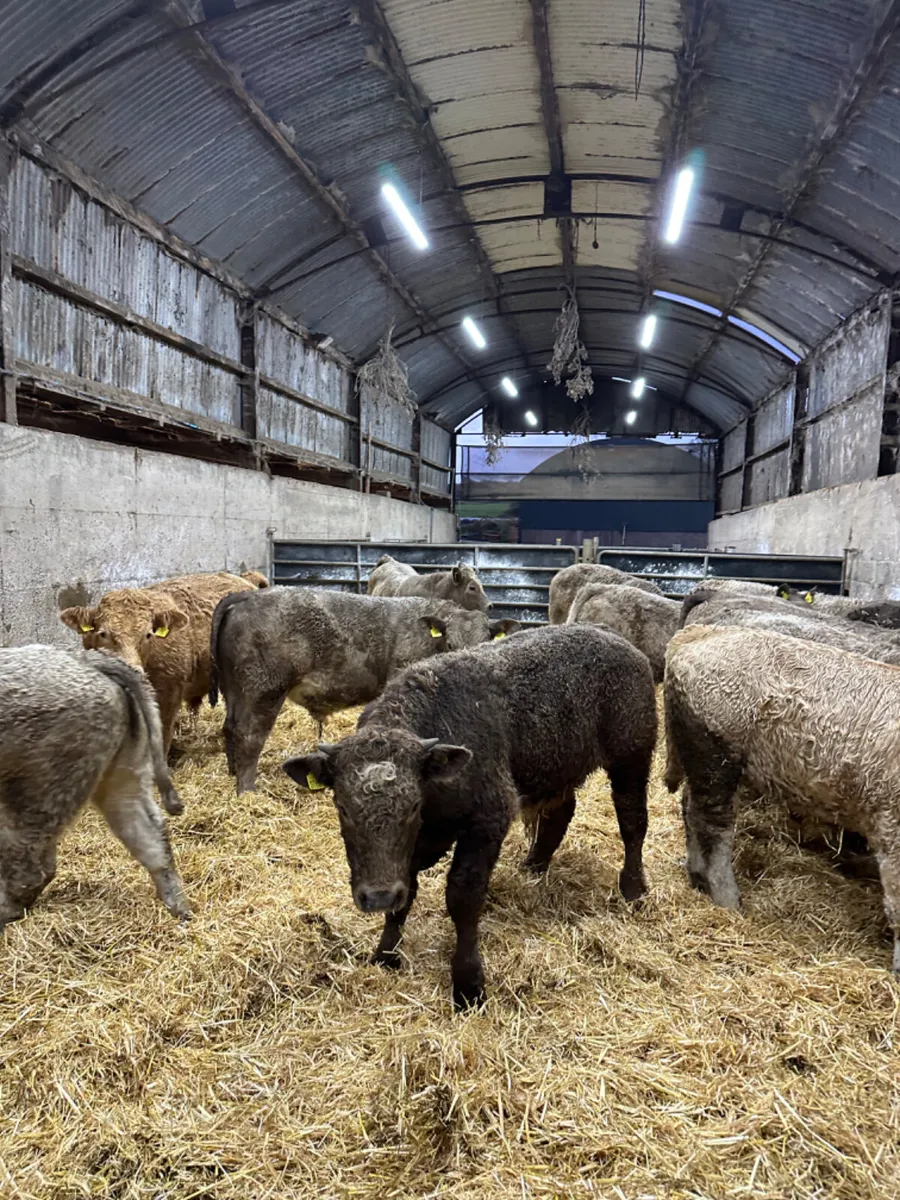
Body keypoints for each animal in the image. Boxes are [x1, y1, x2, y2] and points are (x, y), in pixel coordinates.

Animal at [0, 645, 190, 929]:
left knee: (33, 867)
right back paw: (180, 910)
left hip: (39, 788)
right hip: (124, 775)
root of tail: (86, 660)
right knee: (152, 838)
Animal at [209, 588, 520, 795]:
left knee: (230, 728)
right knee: (250, 736)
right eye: (451, 643)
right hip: (263, 691)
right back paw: (247, 790)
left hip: (235, 690)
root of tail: (247, 596)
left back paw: (232, 773)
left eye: (485, 641)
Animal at [283, 625, 657, 1009]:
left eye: (413, 806)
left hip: (632, 756)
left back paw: (633, 887)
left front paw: (468, 984)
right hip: (557, 770)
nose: (378, 897)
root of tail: (614, 638)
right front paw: (385, 955)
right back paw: (533, 867)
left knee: (632, 821)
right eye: (342, 806)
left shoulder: (487, 821)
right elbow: (406, 895)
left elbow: (462, 898)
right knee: (558, 817)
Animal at [664, 625, 900, 973]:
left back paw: (697, 877)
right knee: (713, 823)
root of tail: (696, 634)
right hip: (717, 749)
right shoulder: (892, 823)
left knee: (690, 806)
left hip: (701, 757)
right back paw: (727, 898)